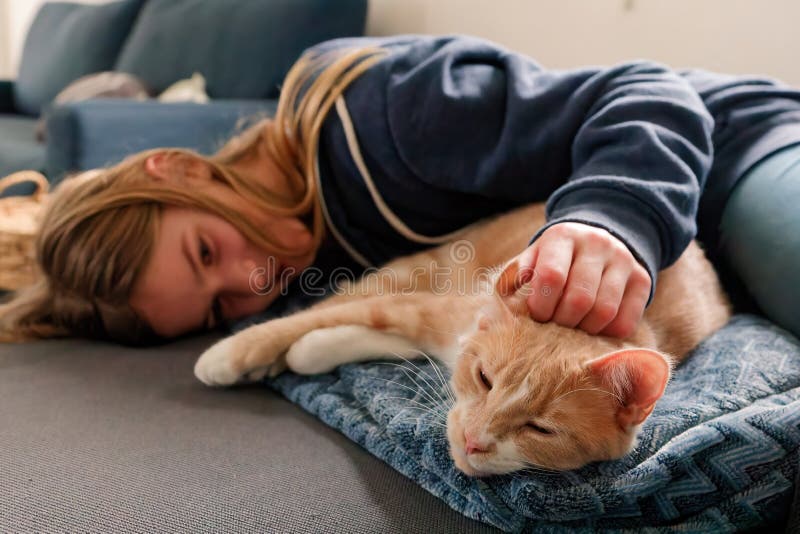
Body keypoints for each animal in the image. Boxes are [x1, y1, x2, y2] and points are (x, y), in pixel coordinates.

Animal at [195, 204, 732, 478]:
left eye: (542, 430)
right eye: (484, 379)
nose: (474, 440)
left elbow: (367, 337)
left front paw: (310, 351)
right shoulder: (430, 310)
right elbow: (344, 314)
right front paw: (231, 354)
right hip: (418, 269)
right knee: (350, 295)